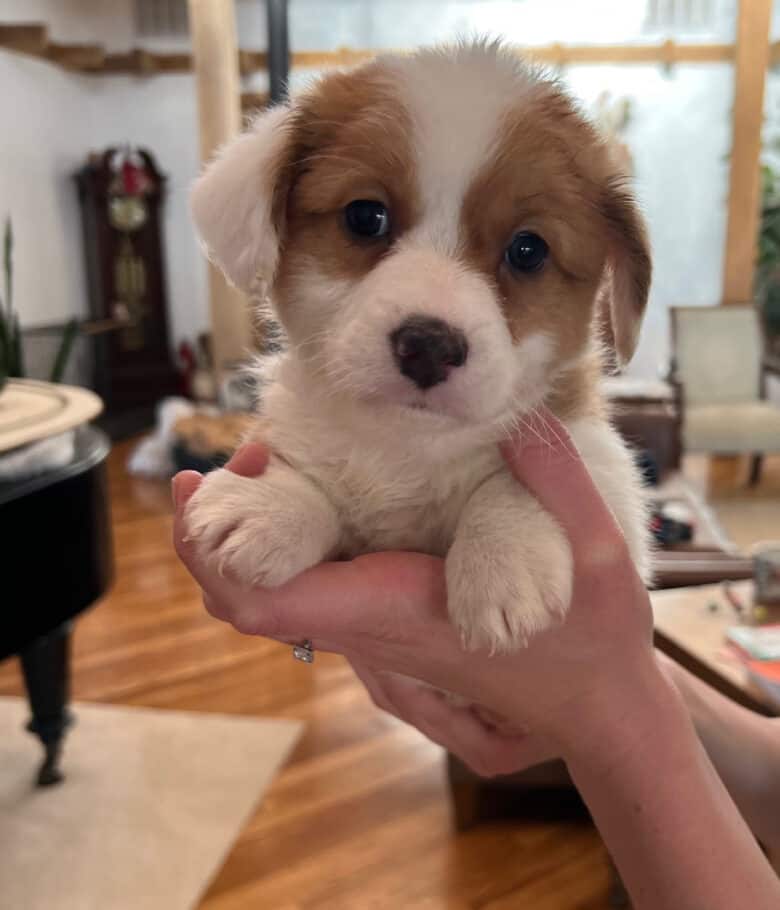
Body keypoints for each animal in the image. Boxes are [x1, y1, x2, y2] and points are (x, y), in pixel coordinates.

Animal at [184, 42, 652, 656]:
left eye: (527, 250)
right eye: (365, 216)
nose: (429, 346)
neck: (405, 448)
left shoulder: (605, 473)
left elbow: (532, 478)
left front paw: (502, 555)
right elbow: (311, 480)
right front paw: (274, 504)